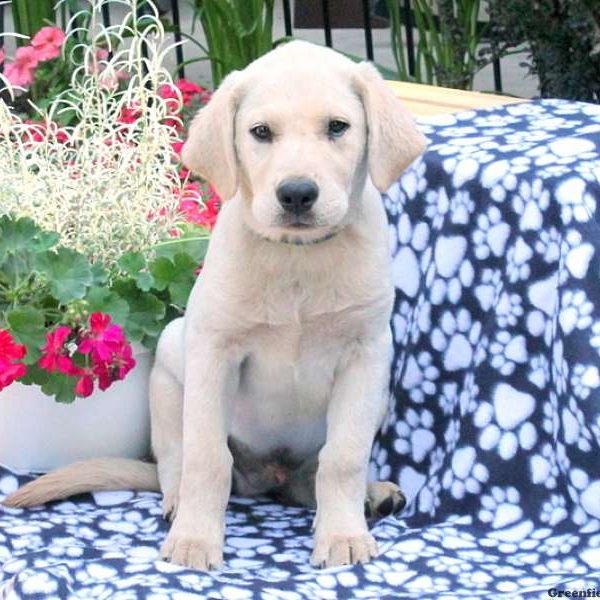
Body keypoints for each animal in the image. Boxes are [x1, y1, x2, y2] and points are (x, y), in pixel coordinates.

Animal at [4, 41, 426, 568]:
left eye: (337, 127)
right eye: (261, 132)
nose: (297, 193)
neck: (296, 257)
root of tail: (269, 477)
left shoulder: (366, 353)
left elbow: (343, 457)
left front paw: (343, 535)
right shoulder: (215, 352)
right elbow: (207, 458)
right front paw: (195, 541)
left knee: (309, 482)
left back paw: (370, 497)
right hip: (170, 364)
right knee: (178, 462)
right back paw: (179, 505)